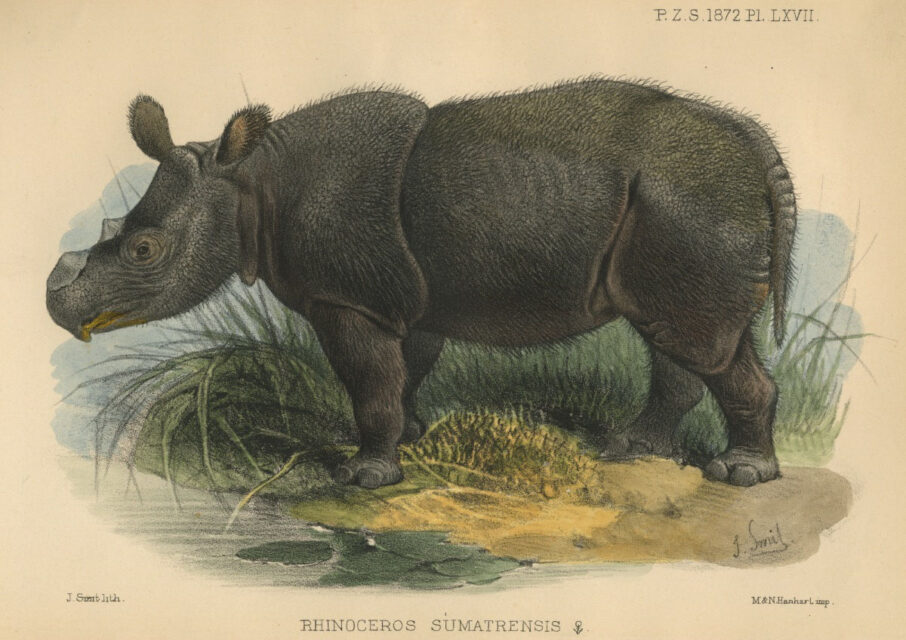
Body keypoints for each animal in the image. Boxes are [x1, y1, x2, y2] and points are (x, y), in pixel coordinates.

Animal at [47, 79, 796, 488]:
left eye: (145, 250)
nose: (59, 306)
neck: (251, 183)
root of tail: (755, 144)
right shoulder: (405, 295)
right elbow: (405, 370)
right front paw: (409, 436)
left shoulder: (348, 298)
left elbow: (368, 378)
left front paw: (362, 476)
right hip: (682, 208)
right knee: (678, 335)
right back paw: (629, 449)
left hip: (688, 202)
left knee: (697, 339)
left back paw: (740, 476)